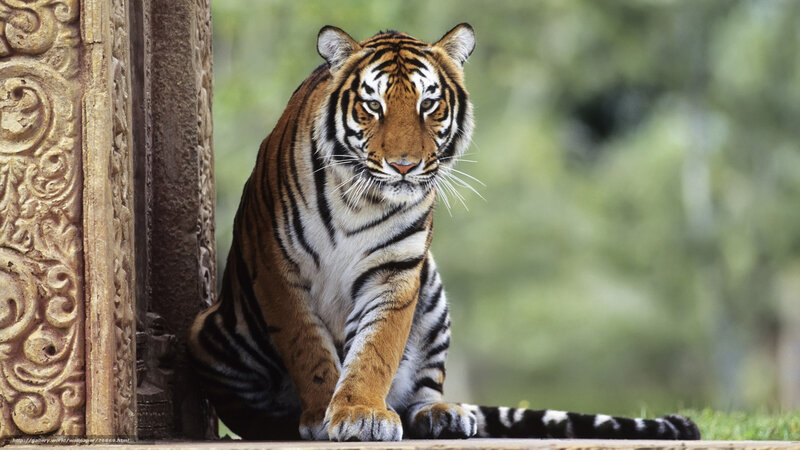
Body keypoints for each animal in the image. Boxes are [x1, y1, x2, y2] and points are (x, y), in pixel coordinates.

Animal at [187, 24, 701, 441]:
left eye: (429, 104)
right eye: (372, 105)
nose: (404, 165)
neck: (359, 198)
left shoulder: (396, 272)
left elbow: (375, 349)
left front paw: (359, 412)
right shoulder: (278, 269)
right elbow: (308, 349)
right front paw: (323, 414)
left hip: (431, 291)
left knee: (423, 389)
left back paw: (441, 415)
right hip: (209, 333)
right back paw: (280, 423)